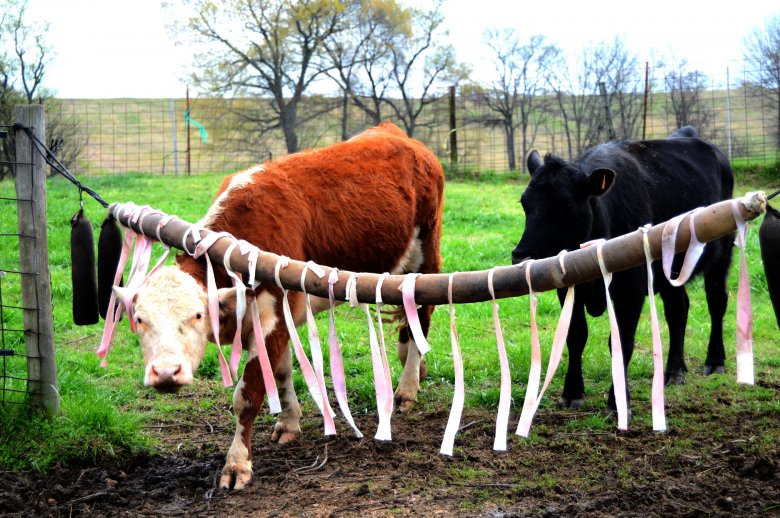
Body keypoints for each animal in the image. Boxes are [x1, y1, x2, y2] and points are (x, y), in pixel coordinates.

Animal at [112, 122, 444, 489]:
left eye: (198, 315)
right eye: (139, 320)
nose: (166, 373)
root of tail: (393, 132)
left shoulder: (271, 318)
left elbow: (247, 396)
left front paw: (236, 464)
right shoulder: (278, 321)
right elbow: (281, 372)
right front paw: (289, 423)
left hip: (425, 257)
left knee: (421, 316)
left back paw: (407, 388)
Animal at [510, 128, 734, 418]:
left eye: (565, 205)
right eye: (524, 203)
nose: (521, 257)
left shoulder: (631, 290)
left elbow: (622, 342)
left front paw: (618, 403)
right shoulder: (568, 288)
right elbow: (576, 336)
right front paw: (572, 393)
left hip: (723, 252)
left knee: (716, 302)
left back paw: (715, 360)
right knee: (678, 310)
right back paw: (674, 371)